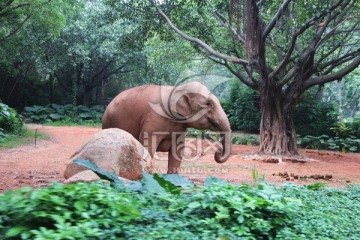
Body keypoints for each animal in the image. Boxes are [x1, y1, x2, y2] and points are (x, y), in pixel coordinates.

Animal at [102, 81, 231, 173]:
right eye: (209, 104)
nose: (218, 152)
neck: (178, 89)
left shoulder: (180, 127)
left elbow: (178, 151)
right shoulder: (154, 120)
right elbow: (148, 146)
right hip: (109, 122)